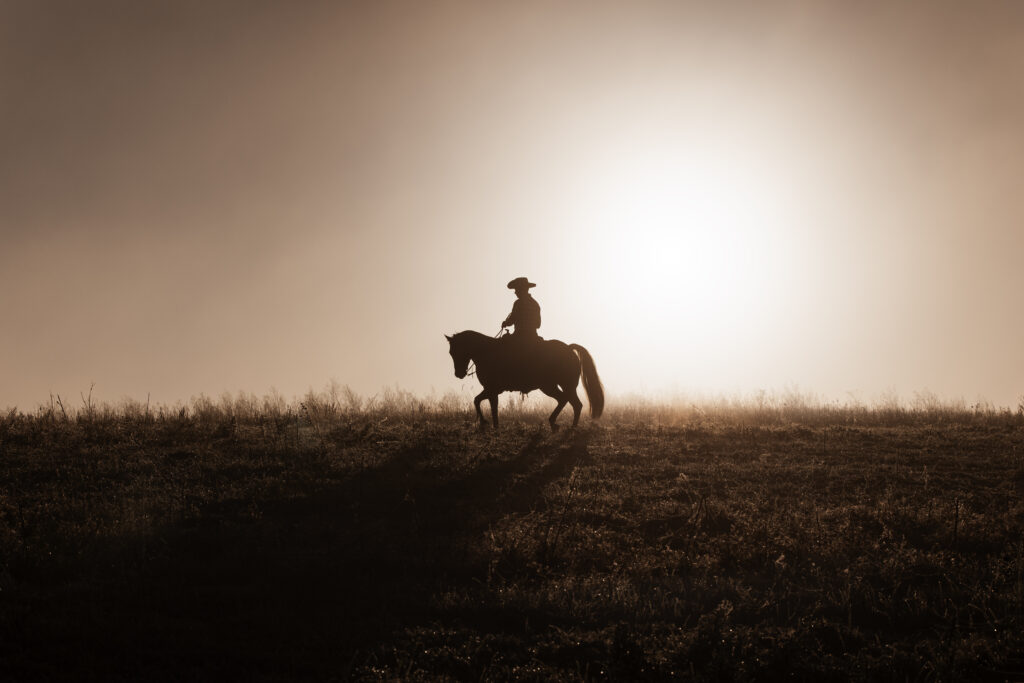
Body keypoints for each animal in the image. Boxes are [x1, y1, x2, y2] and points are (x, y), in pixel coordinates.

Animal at [446, 331, 602, 432]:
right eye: (451, 353)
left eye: (457, 351)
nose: (459, 374)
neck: (486, 352)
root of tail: (569, 348)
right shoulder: (491, 390)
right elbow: (484, 403)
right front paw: (493, 425)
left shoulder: (492, 389)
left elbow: (481, 402)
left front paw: (486, 423)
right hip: (558, 386)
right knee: (573, 403)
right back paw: (564, 425)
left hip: (556, 386)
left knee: (570, 402)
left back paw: (561, 424)